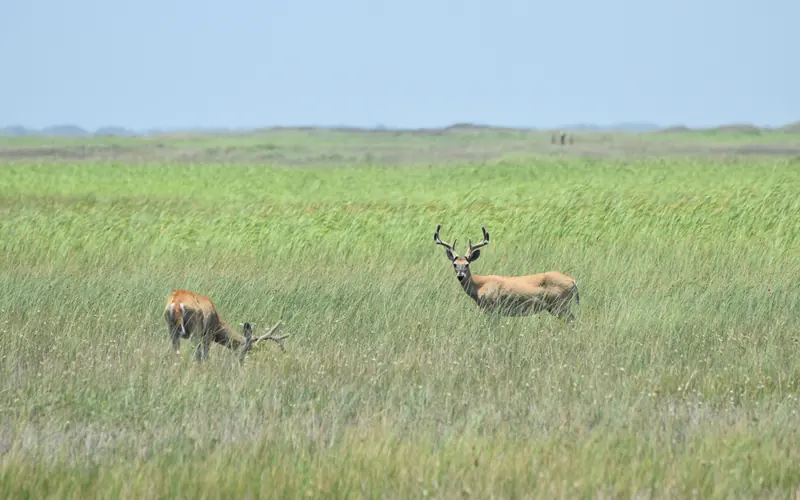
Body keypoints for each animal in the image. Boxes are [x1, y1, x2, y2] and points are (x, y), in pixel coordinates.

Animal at [433, 224, 580, 319]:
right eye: (455, 264)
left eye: (467, 264)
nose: (460, 276)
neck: (480, 285)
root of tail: (573, 281)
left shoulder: (492, 308)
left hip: (560, 305)